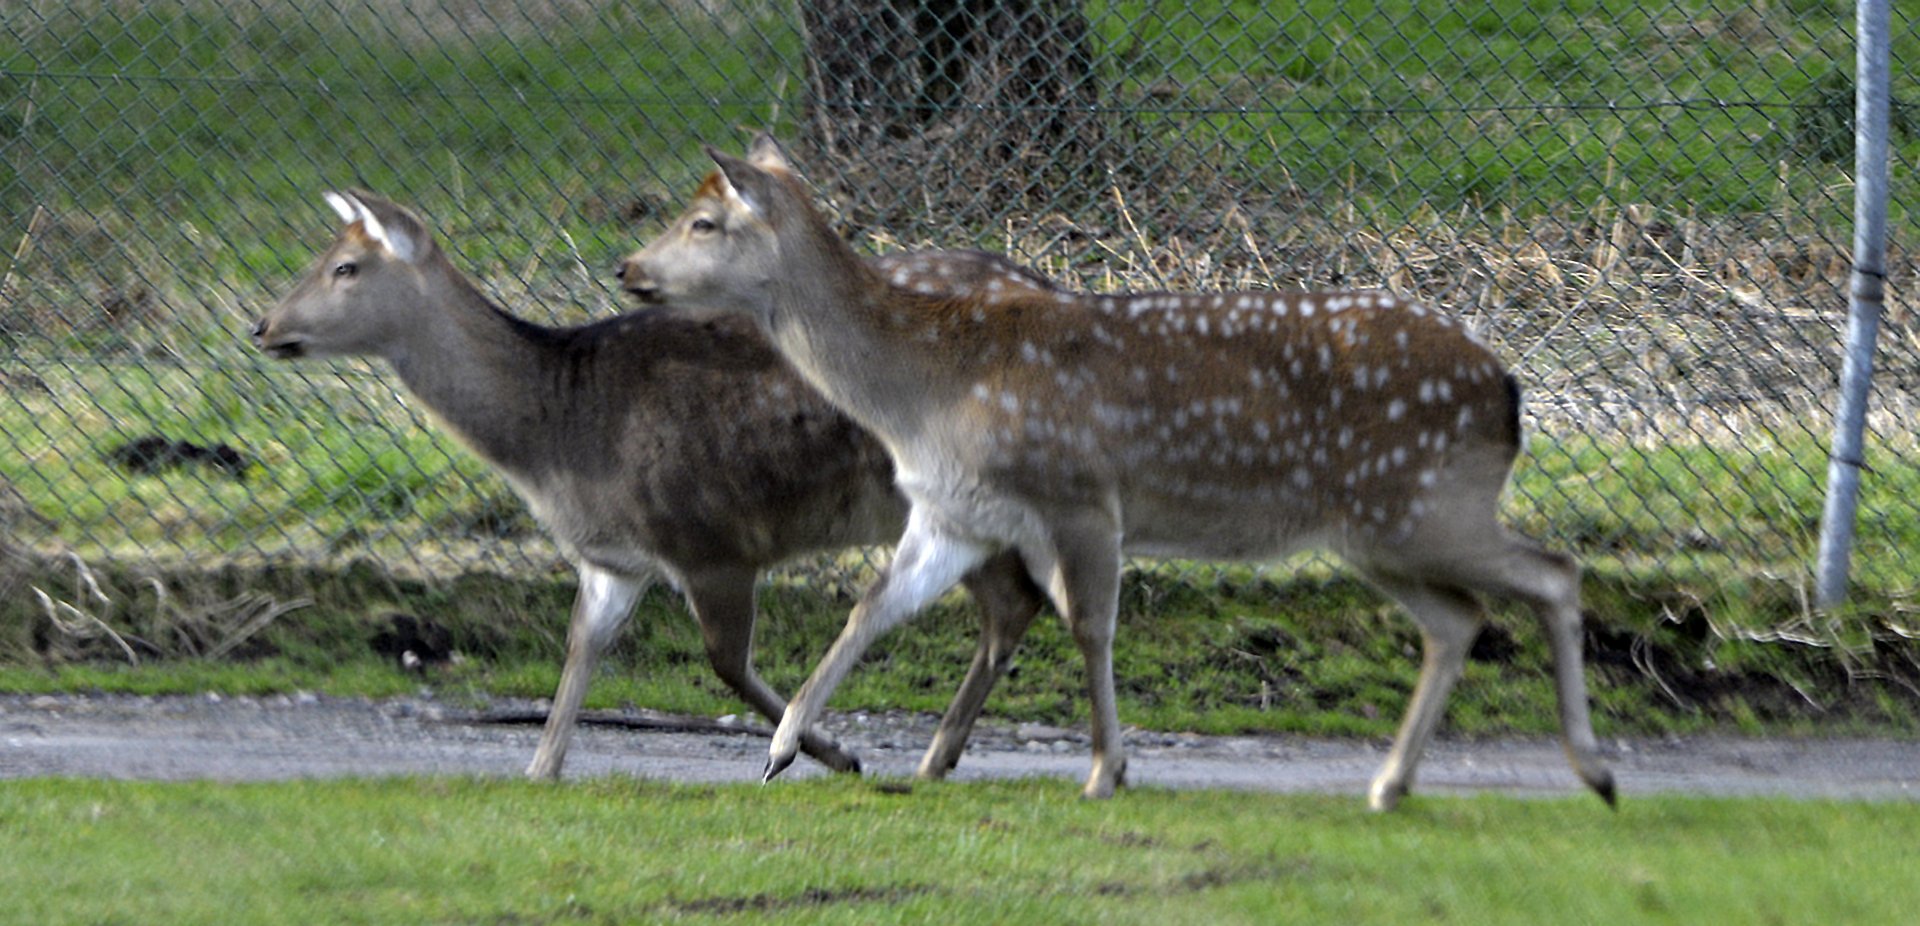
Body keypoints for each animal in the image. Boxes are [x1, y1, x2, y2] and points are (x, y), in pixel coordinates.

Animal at [252, 189, 1052, 782]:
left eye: (346, 267)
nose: (263, 326)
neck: (558, 436)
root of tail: (1043, 280)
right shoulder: (611, 558)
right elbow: (581, 646)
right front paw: (541, 768)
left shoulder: (710, 539)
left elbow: (726, 663)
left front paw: (831, 753)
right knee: (1011, 602)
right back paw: (939, 757)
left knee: (1010, 597)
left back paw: (929, 756)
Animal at [616, 136, 1616, 811]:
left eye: (704, 221)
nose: (628, 268)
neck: (928, 393)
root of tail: (1509, 389)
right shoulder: (954, 515)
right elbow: (872, 608)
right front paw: (787, 747)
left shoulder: (1083, 496)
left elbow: (1092, 626)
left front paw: (1106, 769)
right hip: (1381, 531)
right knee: (1459, 619)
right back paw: (1391, 784)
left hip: (1424, 502)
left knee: (1553, 572)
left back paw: (1594, 770)